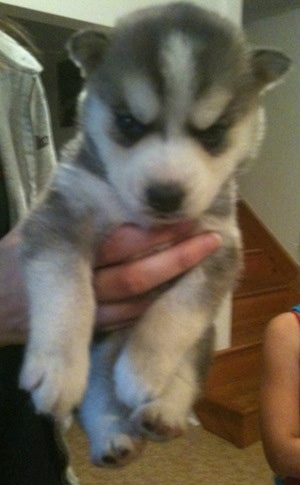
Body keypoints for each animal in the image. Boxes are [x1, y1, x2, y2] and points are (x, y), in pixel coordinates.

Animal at [19, 1, 290, 466]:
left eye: (213, 133)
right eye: (128, 123)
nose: (165, 195)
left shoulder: (219, 245)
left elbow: (175, 311)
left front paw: (141, 369)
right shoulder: (61, 214)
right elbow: (65, 290)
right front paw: (57, 368)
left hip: (202, 340)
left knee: (183, 372)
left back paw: (161, 412)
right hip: (102, 349)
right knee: (98, 393)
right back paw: (113, 437)